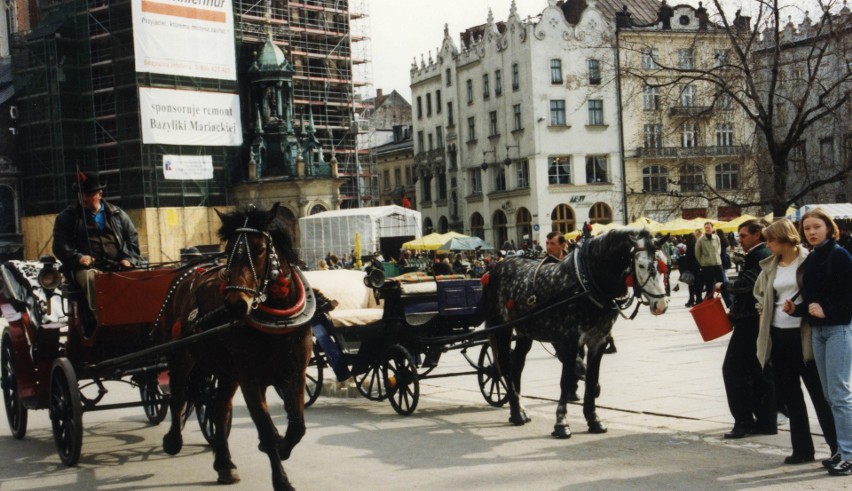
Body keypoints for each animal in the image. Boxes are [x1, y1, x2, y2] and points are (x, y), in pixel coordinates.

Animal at [155, 202, 314, 490]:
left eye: (260, 249)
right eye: (229, 250)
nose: (235, 304)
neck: (278, 321)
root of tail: (188, 274)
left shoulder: (295, 373)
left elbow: (297, 426)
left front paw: (283, 448)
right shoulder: (250, 378)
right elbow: (266, 429)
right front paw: (281, 478)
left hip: (227, 371)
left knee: (219, 408)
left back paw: (225, 464)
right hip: (181, 354)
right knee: (178, 395)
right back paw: (173, 441)